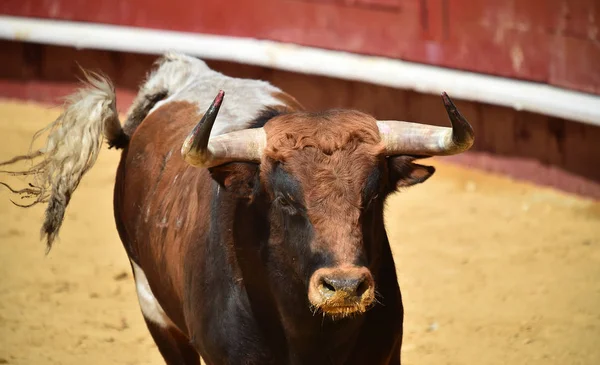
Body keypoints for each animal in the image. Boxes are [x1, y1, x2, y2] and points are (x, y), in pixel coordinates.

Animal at [3, 52, 474, 364]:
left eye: (373, 196)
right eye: (284, 199)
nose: (344, 287)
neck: (309, 336)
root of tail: (189, 74)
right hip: (154, 309)